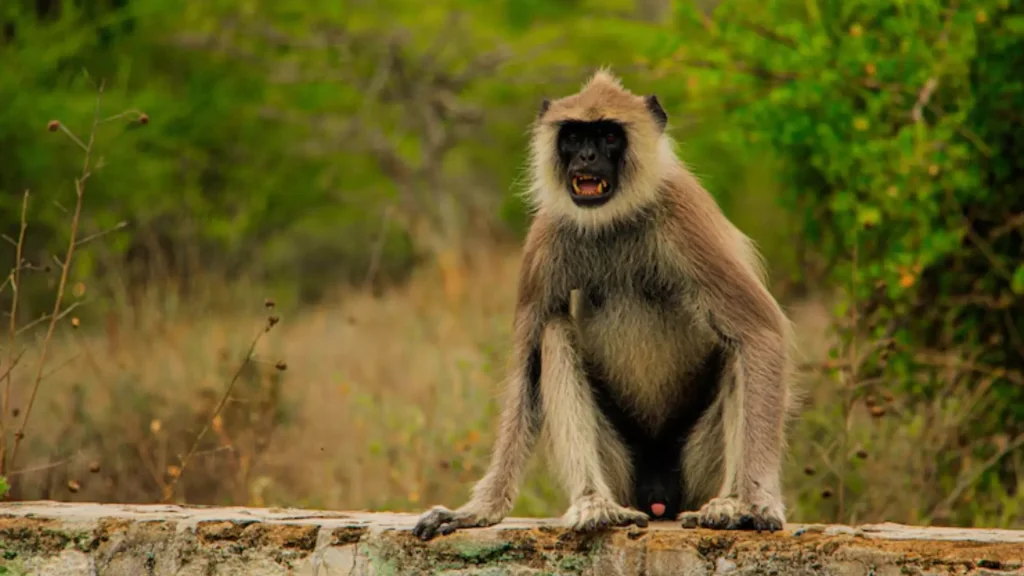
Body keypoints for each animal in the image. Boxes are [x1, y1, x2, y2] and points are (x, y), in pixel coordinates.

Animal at [412, 69, 796, 541]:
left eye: (609, 135)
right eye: (575, 135)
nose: (587, 156)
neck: (613, 220)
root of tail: (658, 498)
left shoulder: (684, 216)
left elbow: (760, 332)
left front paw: (758, 504)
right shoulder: (547, 236)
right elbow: (526, 365)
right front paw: (479, 510)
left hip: (698, 467)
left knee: (735, 348)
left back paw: (727, 503)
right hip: (622, 471)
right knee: (553, 331)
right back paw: (595, 505)